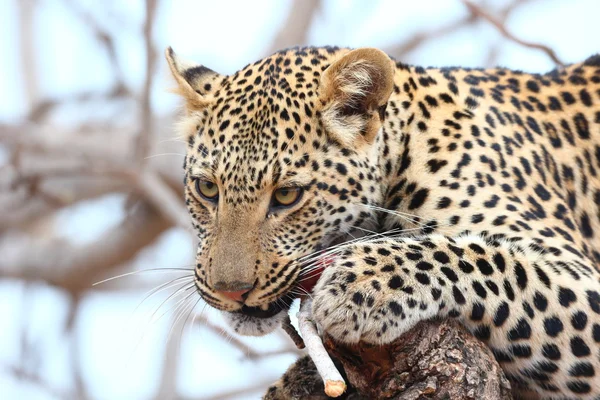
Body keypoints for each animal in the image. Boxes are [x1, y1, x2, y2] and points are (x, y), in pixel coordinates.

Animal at [165, 45, 600, 398]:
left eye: (287, 195)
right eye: (207, 188)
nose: (231, 290)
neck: (408, 146)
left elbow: (490, 261)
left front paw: (362, 285)